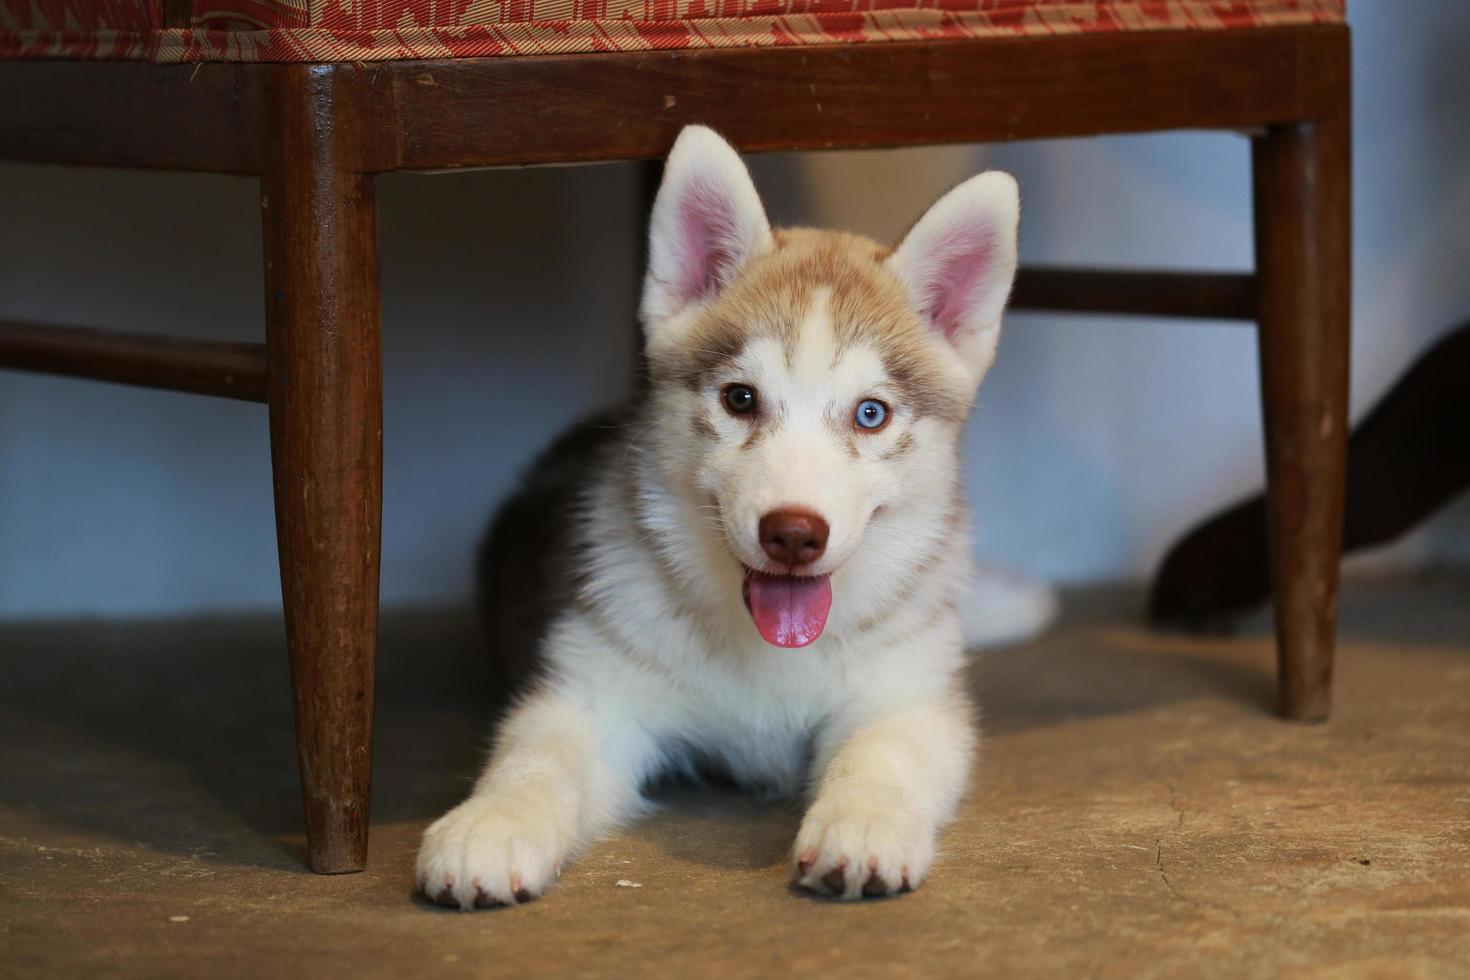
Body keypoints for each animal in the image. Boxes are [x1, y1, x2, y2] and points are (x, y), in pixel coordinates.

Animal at [417, 126, 1023, 910]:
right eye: (741, 398)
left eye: (871, 414)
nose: (793, 534)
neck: (767, 654)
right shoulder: (591, 692)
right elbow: (535, 759)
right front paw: (488, 825)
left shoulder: (906, 696)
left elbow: (883, 754)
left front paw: (863, 825)